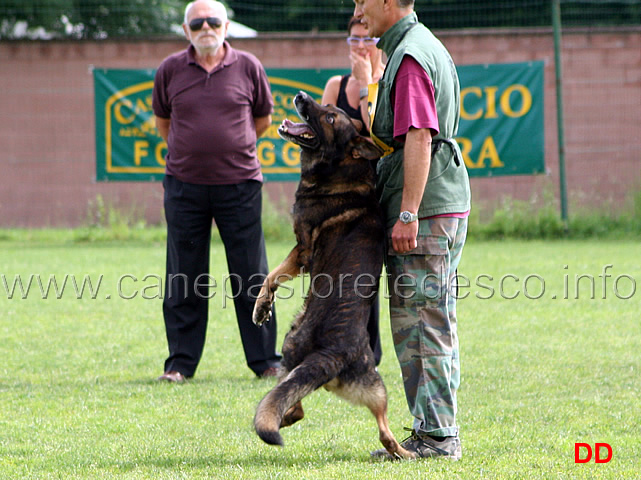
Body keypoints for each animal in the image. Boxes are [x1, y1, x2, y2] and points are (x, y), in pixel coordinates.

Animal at [252, 92, 412, 460]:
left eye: (328, 118)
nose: (300, 96)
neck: (339, 172)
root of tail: (334, 353)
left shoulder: (302, 252)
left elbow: (271, 276)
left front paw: (262, 308)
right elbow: (271, 278)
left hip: (296, 352)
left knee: (297, 404)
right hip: (371, 387)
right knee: (375, 428)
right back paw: (403, 452)